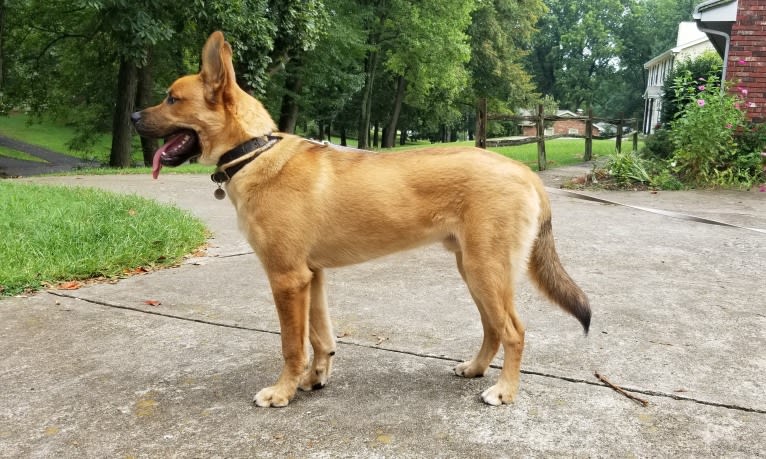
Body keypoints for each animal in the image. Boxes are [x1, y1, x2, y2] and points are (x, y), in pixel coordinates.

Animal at [132, 30, 592, 408]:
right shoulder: (311, 277)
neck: (255, 151)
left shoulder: (287, 279)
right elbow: (320, 338)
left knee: (513, 331)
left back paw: (504, 391)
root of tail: (525, 172)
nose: (133, 117)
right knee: (493, 328)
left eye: (172, 98)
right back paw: (476, 369)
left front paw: (281, 392)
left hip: (486, 269)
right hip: (474, 269)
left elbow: (292, 345)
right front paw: (313, 380)